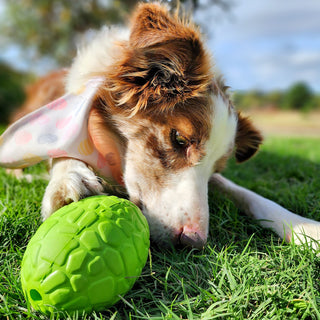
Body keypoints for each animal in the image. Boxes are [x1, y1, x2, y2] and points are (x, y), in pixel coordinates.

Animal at [9, 2, 320, 249]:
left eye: (216, 169)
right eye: (180, 140)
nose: (193, 241)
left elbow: (247, 193)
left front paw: (302, 227)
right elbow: (62, 151)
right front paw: (67, 180)